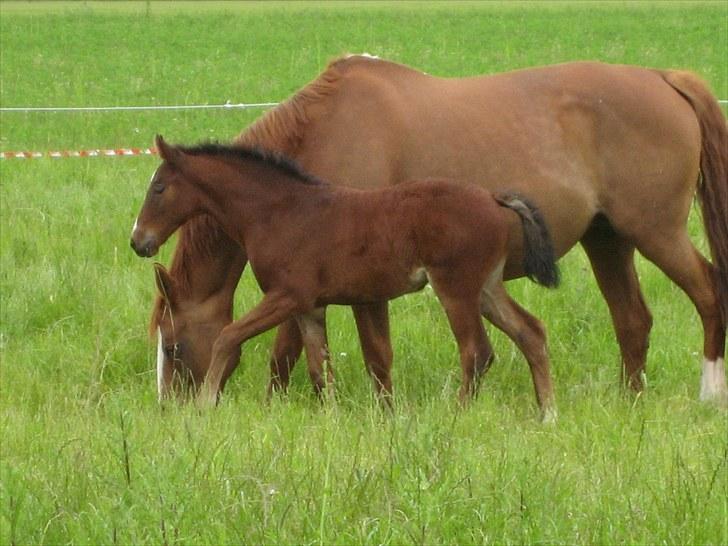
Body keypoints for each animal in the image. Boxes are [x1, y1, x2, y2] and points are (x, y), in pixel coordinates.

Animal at [134, 137, 560, 416]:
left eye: (159, 188)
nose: (139, 240)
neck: (276, 213)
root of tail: (493, 198)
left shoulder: (288, 295)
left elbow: (228, 336)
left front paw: (205, 405)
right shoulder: (309, 307)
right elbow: (318, 367)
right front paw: (332, 418)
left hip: (456, 288)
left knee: (477, 351)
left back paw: (458, 413)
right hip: (486, 287)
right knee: (531, 332)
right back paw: (547, 413)